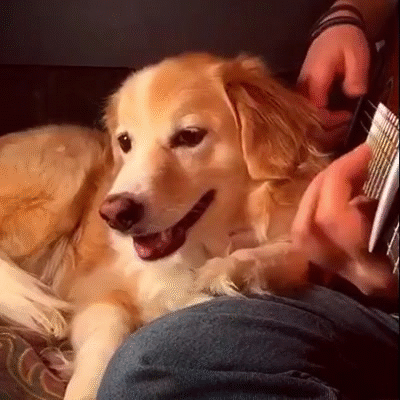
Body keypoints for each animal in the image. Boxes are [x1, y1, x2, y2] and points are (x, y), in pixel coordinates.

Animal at [0, 53, 327, 399]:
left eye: (190, 136)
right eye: (125, 142)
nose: (113, 215)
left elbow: (287, 253)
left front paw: (223, 273)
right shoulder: (95, 289)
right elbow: (106, 338)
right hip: (70, 174)